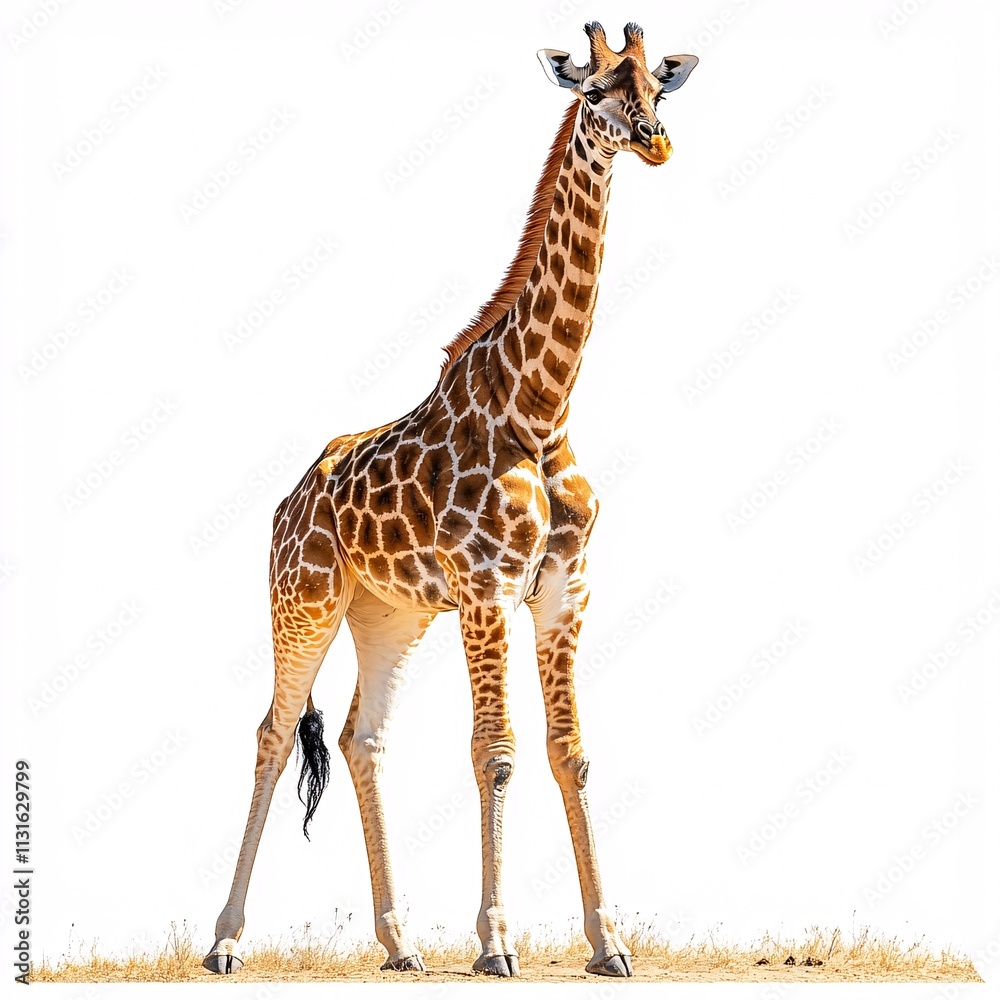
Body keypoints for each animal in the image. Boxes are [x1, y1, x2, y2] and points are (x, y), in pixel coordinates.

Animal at [203, 20, 697, 979]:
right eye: (594, 92)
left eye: (659, 89)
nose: (655, 142)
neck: (541, 407)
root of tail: (284, 503)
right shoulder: (486, 588)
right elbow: (495, 752)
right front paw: (497, 941)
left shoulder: (563, 590)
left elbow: (570, 753)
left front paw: (608, 940)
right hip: (303, 600)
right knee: (273, 733)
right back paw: (225, 940)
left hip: (388, 615)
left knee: (361, 738)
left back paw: (400, 944)